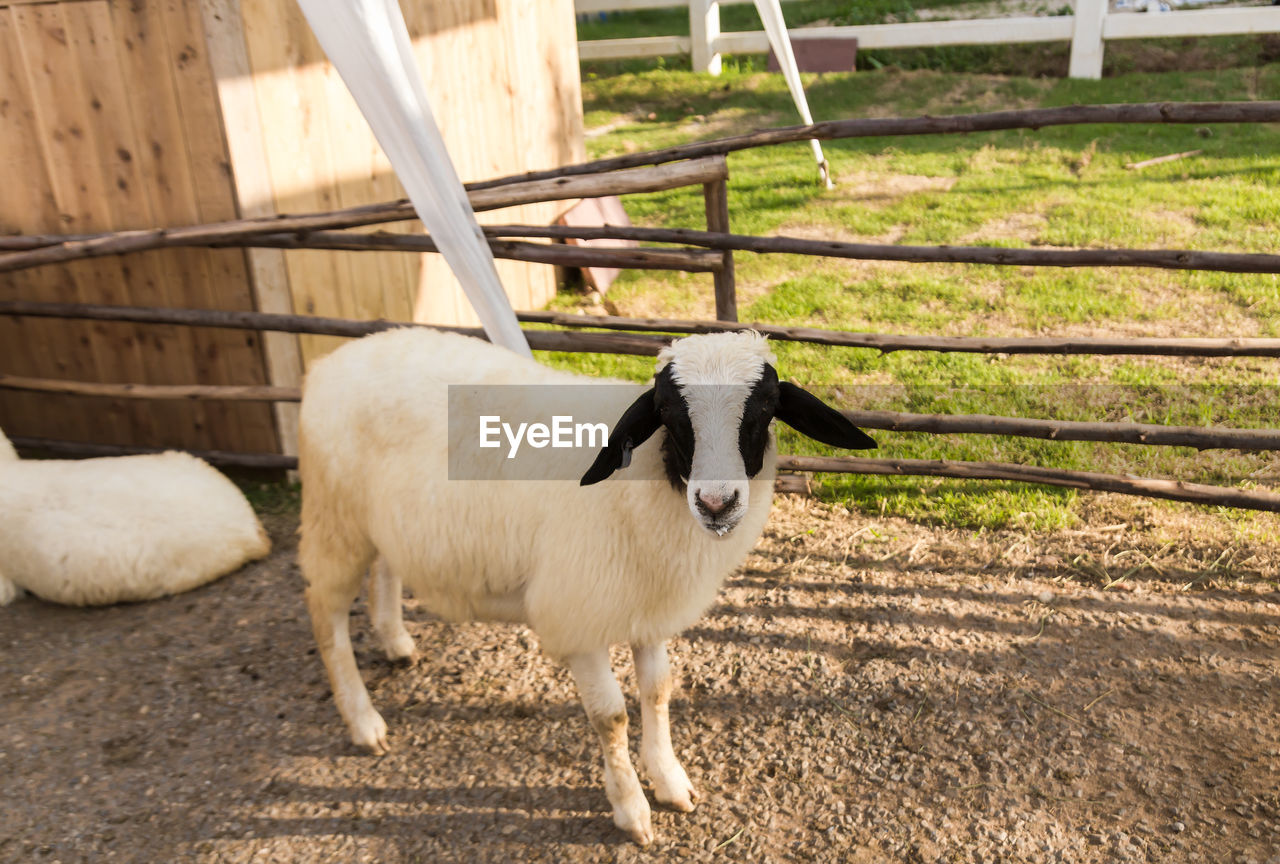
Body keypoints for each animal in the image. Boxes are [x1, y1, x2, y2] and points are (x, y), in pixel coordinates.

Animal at [299, 326, 875, 844]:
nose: (717, 503)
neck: (643, 482)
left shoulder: (650, 606)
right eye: (669, 414)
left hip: (380, 521)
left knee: (385, 567)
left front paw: (670, 782)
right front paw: (632, 810)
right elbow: (611, 717)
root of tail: (332, 360)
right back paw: (363, 721)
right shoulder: (578, 615)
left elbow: (658, 691)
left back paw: (395, 641)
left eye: (764, 410)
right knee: (325, 616)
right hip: (333, 520)